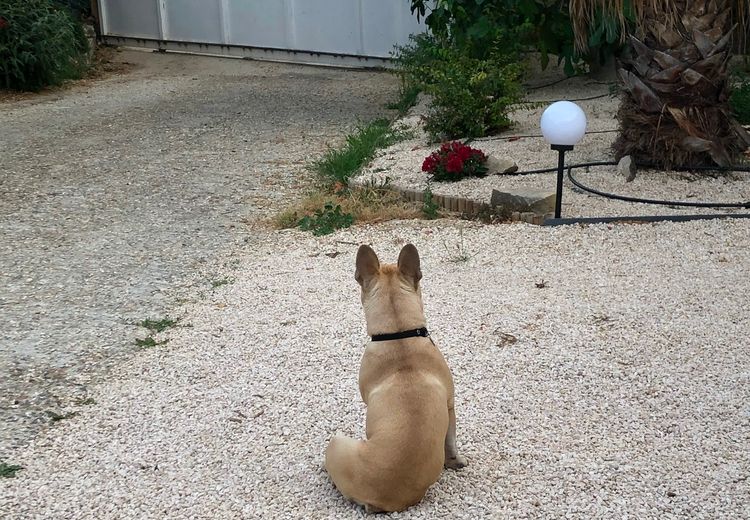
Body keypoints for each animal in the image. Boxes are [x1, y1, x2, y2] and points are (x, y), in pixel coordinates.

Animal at [326, 244, 468, 512]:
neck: (399, 333)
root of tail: (379, 498)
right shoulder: (451, 405)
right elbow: (451, 441)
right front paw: (455, 461)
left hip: (336, 441)